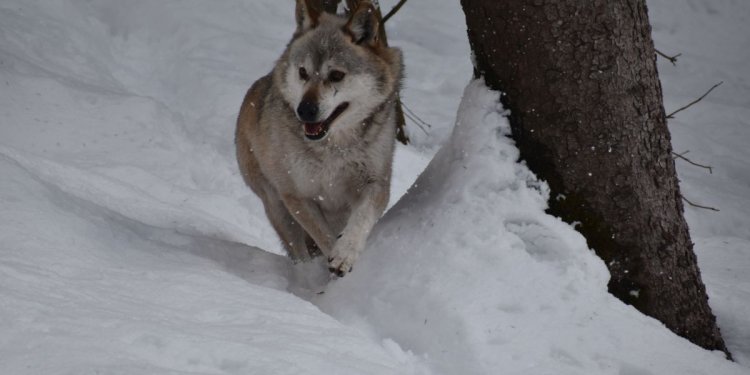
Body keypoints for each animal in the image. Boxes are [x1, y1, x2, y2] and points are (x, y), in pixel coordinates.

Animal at [236, 0, 406, 276]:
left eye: (336, 75)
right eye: (303, 72)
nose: (304, 110)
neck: (333, 149)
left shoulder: (376, 184)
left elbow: (360, 221)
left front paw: (345, 254)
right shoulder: (297, 195)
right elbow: (323, 237)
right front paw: (333, 260)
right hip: (276, 205)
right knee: (299, 252)